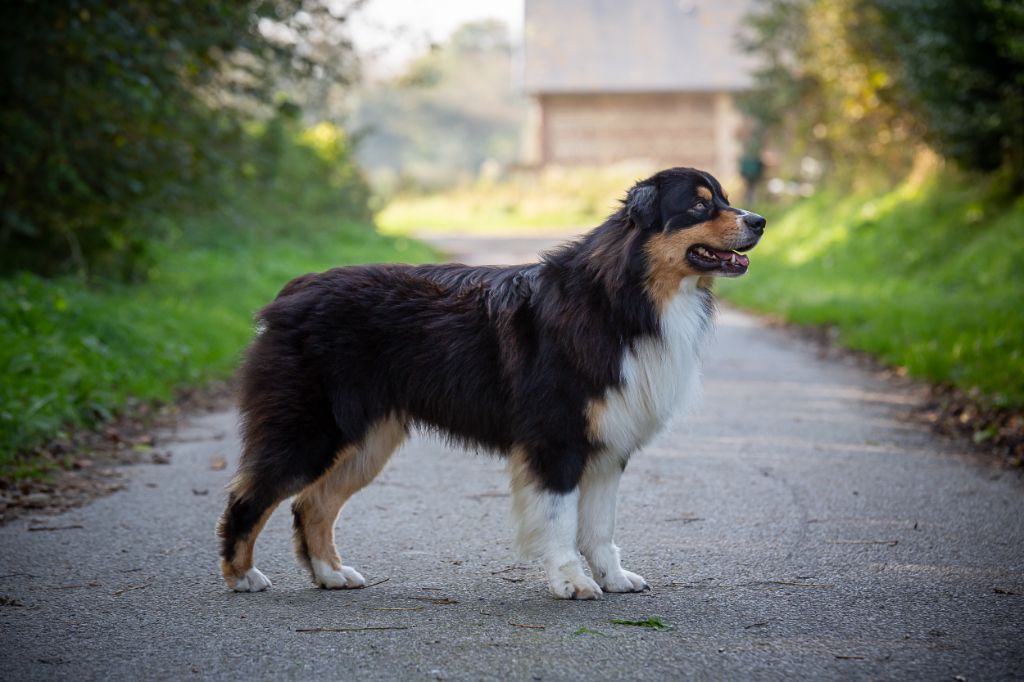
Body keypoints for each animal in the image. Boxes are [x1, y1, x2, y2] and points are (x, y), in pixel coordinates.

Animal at [216, 166, 765, 598]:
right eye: (698, 205)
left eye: (724, 197)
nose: (759, 221)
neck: (625, 298)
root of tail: (294, 289)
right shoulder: (556, 439)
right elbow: (560, 518)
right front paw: (571, 581)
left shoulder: (609, 443)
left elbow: (599, 525)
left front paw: (613, 578)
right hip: (311, 430)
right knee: (251, 495)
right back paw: (242, 576)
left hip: (368, 439)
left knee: (312, 503)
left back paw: (331, 574)